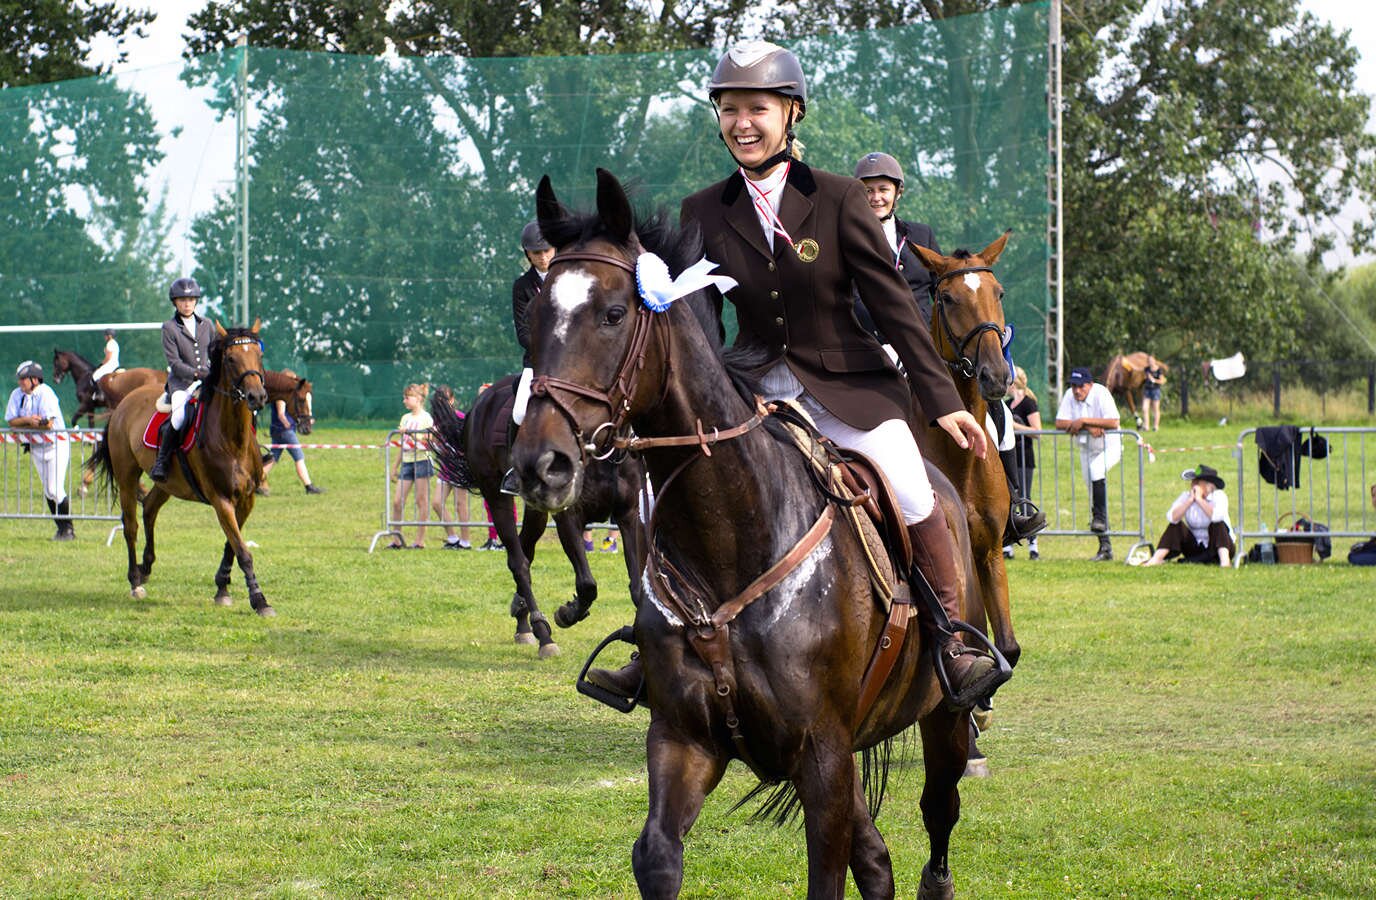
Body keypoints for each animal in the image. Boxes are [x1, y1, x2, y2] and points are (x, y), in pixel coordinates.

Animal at [88, 322, 273, 615]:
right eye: (231, 359)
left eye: (259, 355)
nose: (257, 396)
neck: (232, 439)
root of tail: (124, 403)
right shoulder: (221, 500)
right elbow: (242, 551)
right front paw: (259, 600)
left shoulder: (246, 500)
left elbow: (231, 546)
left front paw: (222, 588)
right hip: (127, 476)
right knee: (130, 526)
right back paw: (135, 582)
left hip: (166, 482)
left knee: (149, 508)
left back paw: (146, 567)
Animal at [428, 377, 646, 659]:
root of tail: (479, 405)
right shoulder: (568, 517)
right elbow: (587, 584)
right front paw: (567, 613)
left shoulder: (628, 516)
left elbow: (638, 587)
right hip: (496, 497)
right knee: (519, 562)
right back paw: (543, 633)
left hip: (535, 510)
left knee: (525, 550)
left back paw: (522, 620)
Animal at [512, 169, 987, 897]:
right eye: (535, 317)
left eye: (614, 315)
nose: (542, 464)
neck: (732, 538)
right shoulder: (684, 739)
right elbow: (657, 856)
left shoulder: (823, 754)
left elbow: (828, 874)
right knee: (876, 858)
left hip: (943, 717)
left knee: (938, 812)